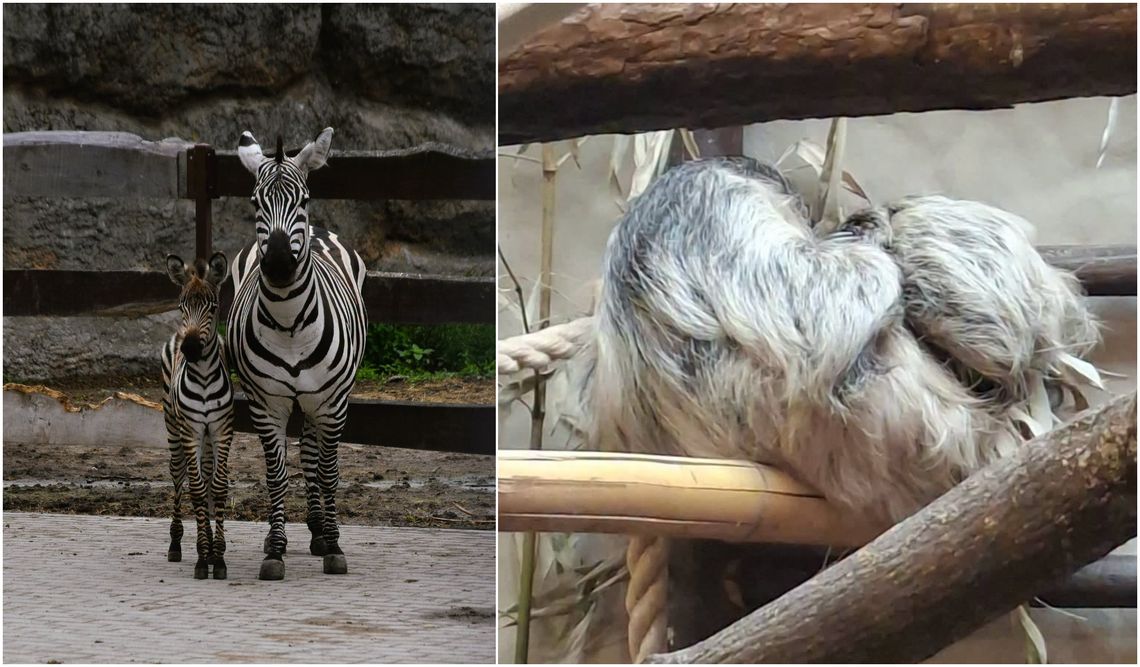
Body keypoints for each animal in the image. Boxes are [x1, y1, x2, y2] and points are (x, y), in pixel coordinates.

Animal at [227, 127, 367, 580]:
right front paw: (275, 549)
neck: (289, 323)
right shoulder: (265, 403)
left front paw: (334, 547)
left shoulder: (332, 402)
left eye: (302, 200)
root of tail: (322, 230)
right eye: (255, 202)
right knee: (303, 455)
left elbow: (329, 472)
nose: (277, 265)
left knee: (312, 455)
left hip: (324, 396)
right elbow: (276, 475)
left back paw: (322, 531)